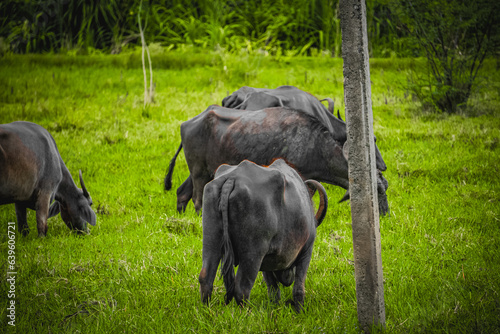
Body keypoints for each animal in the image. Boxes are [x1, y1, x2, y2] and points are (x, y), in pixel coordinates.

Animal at [165, 105, 390, 215]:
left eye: (384, 189)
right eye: (377, 192)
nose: (385, 214)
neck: (313, 145)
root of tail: (188, 122)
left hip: (206, 171)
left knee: (183, 193)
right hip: (198, 172)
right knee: (197, 200)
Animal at [199, 159, 328, 314]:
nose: (288, 278)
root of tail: (231, 179)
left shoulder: (266, 261)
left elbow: (273, 289)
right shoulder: (306, 251)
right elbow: (298, 288)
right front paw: (299, 311)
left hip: (211, 240)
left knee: (206, 278)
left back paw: (206, 311)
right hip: (253, 253)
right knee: (242, 287)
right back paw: (246, 314)